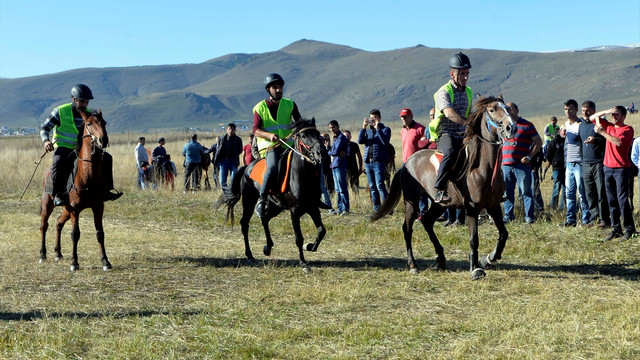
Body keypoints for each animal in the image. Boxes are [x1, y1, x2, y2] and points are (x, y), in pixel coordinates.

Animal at [40, 111, 112, 272]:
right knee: (44, 225)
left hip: (66, 209)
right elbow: (75, 234)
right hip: (48, 204)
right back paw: (42, 254)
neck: (88, 175)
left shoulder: (98, 206)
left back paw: (58, 253)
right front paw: (74, 263)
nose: (103, 140)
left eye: (104, 122)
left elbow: (100, 233)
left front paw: (105, 261)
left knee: (58, 222)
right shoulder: (75, 209)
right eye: (89, 124)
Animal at [215, 118, 324, 272]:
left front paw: (309, 246)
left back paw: (268, 247)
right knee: (245, 223)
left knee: (265, 218)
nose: (321, 152)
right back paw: (249, 254)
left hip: (276, 206)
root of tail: (246, 167)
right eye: (303, 136)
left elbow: (321, 231)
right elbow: (299, 238)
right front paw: (303, 263)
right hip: (249, 201)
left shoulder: (313, 207)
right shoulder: (295, 211)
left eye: (318, 133)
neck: (303, 175)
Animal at [372, 97, 516, 280]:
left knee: (426, 221)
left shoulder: (493, 206)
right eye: (491, 110)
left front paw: (489, 259)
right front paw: (475, 268)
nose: (511, 127)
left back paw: (440, 258)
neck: (483, 167)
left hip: (439, 203)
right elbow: (473, 239)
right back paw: (413, 265)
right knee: (407, 228)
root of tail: (406, 164)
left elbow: (504, 234)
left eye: (507, 109)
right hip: (411, 201)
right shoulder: (472, 208)